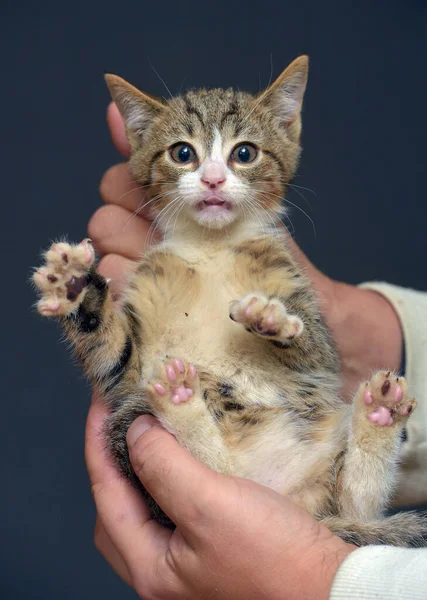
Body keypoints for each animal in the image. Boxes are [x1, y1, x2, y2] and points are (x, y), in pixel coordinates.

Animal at [34, 57, 427, 548]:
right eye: (183, 153)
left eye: (245, 153)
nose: (214, 178)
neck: (211, 247)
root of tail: (286, 496)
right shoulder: (126, 372)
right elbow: (110, 349)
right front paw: (74, 285)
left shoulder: (307, 315)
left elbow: (311, 345)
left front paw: (270, 319)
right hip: (129, 418)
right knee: (215, 473)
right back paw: (183, 403)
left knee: (353, 506)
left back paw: (377, 416)